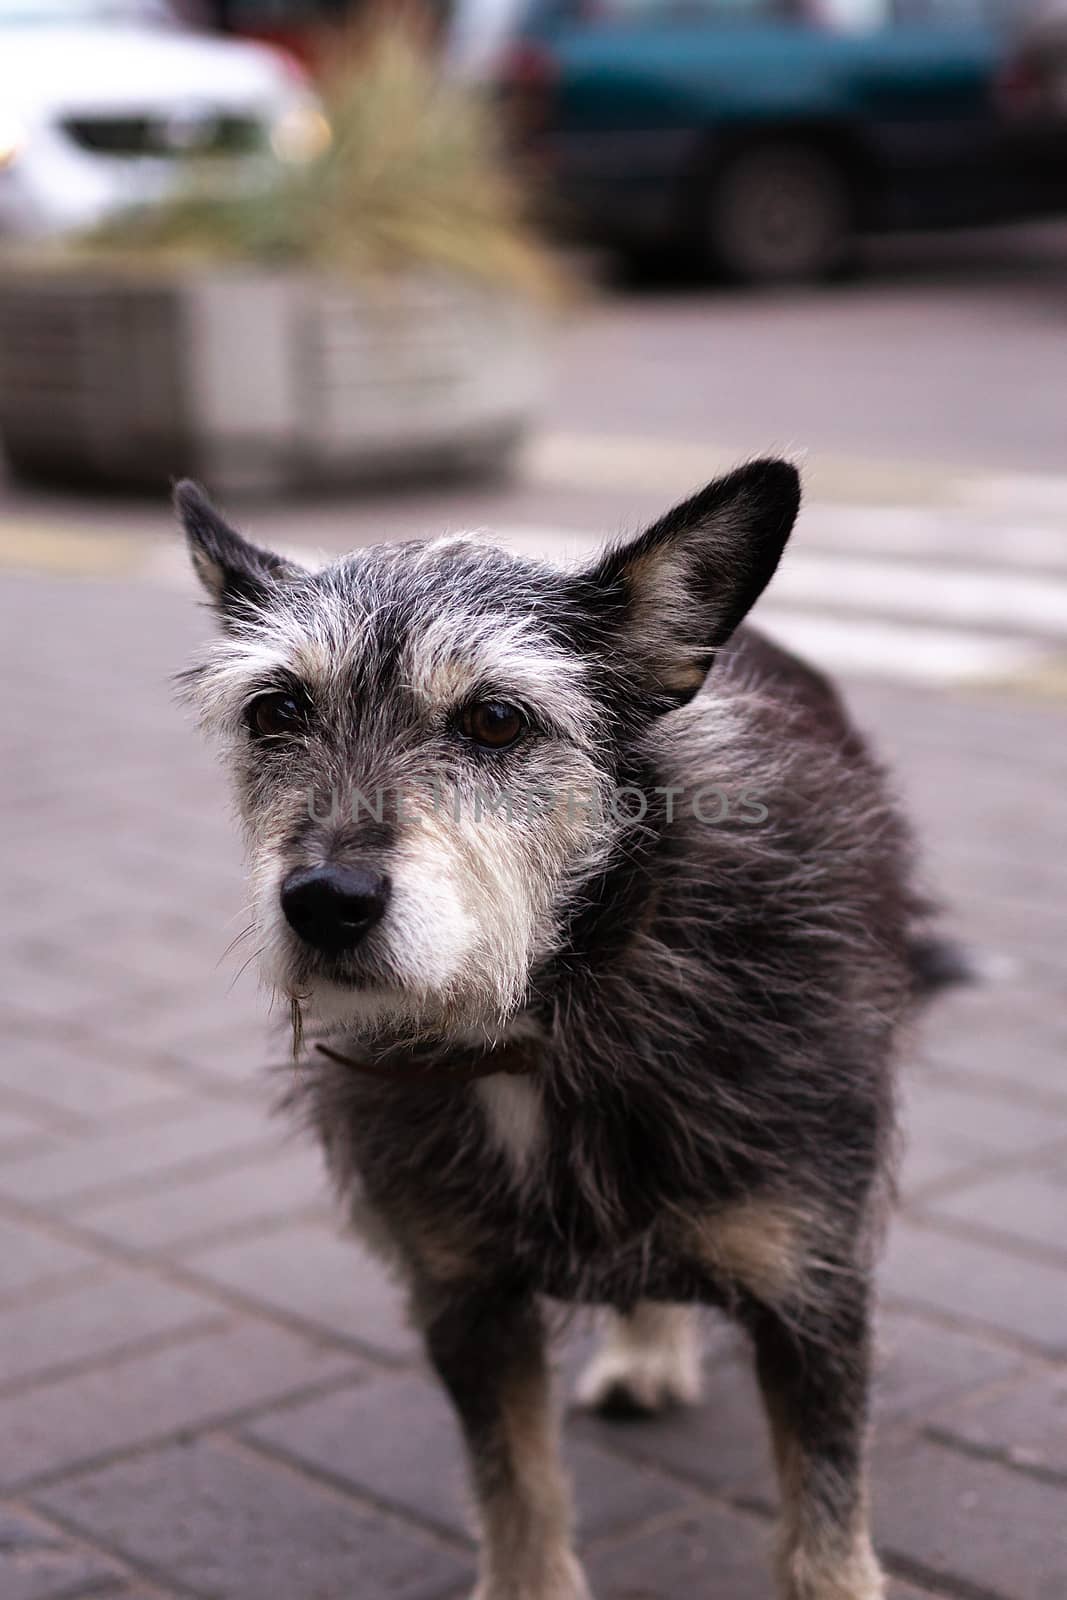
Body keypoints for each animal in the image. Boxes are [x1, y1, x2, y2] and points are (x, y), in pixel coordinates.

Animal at [177, 460, 953, 1600]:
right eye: (275, 710)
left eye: (497, 720)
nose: (324, 902)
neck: (545, 1019)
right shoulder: (464, 1301)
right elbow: (517, 1491)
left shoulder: (813, 1291)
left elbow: (823, 1538)